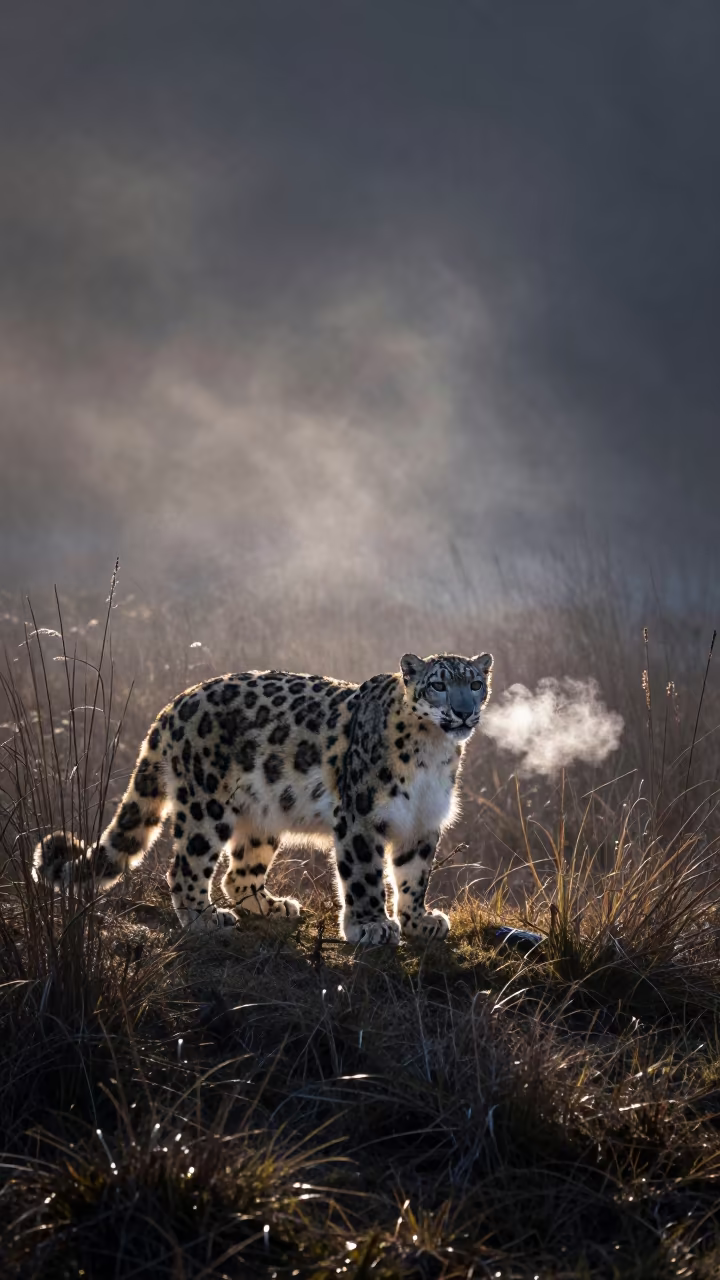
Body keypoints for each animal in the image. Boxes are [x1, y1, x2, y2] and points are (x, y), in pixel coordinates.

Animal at [34, 651, 493, 945]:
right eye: (438, 685)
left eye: (475, 683)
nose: (464, 711)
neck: (433, 752)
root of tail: (174, 704)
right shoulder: (361, 818)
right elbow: (365, 876)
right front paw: (370, 926)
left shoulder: (422, 822)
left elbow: (414, 876)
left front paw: (418, 922)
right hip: (205, 807)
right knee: (185, 866)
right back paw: (205, 919)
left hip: (261, 818)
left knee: (237, 874)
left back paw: (271, 906)